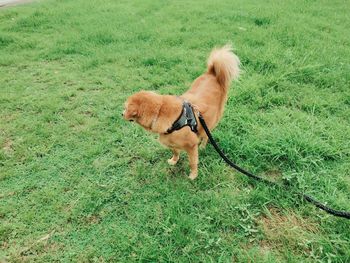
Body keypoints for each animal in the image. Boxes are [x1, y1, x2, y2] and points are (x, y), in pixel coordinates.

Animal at [121, 46, 239, 180]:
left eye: (125, 108)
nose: (121, 114)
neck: (160, 111)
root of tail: (213, 72)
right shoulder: (172, 143)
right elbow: (175, 152)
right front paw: (174, 160)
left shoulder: (191, 146)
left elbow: (192, 162)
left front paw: (193, 175)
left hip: (211, 121)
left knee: (206, 135)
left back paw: (203, 146)